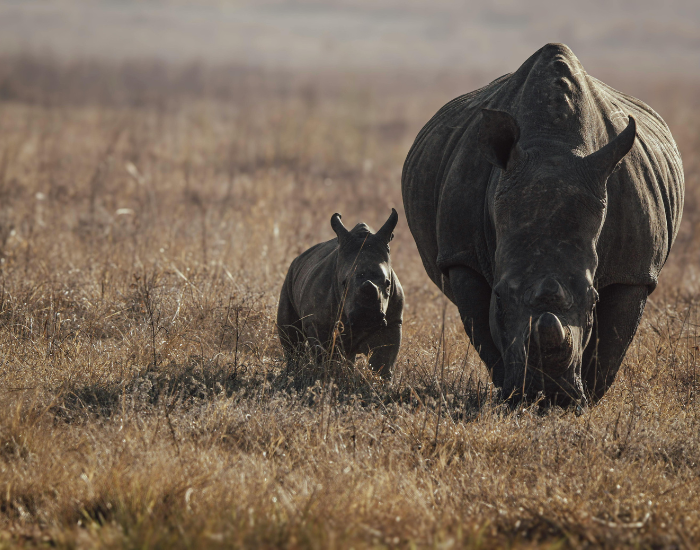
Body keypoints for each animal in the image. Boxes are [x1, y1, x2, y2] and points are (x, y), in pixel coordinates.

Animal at [277, 209, 404, 378]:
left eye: (388, 283)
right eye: (344, 283)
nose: (366, 316)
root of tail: (299, 257)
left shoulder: (393, 322)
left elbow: (383, 361)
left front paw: (380, 381)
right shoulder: (318, 323)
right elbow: (327, 356)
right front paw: (327, 376)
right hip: (289, 277)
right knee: (292, 338)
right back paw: (294, 373)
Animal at [402, 43, 684, 406]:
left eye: (593, 299)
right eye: (500, 296)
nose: (548, 395)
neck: (554, 145)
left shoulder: (634, 267)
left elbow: (614, 340)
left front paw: (590, 397)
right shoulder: (461, 254)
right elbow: (482, 328)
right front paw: (508, 392)